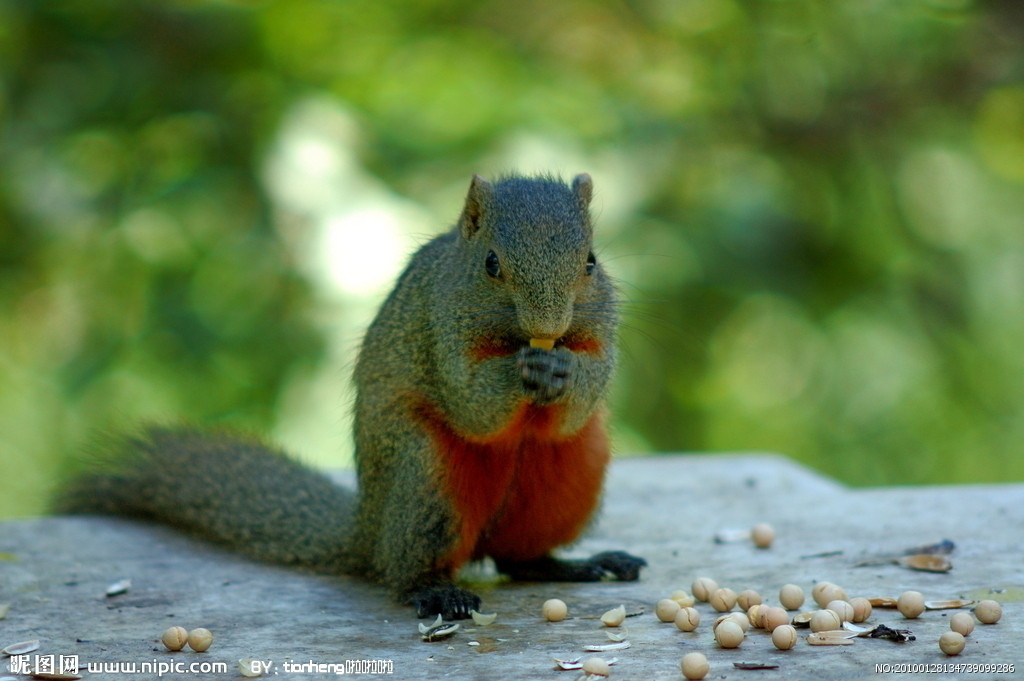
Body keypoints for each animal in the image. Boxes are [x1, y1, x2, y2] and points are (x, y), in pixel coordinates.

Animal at [56, 173, 643, 618]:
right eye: (492, 264)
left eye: (591, 261)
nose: (548, 328)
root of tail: (367, 531)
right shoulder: (438, 332)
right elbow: (471, 404)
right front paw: (519, 374)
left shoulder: (601, 338)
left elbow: (585, 392)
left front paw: (565, 369)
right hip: (424, 477)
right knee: (407, 568)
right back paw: (436, 592)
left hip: (571, 474)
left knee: (517, 557)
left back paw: (573, 564)